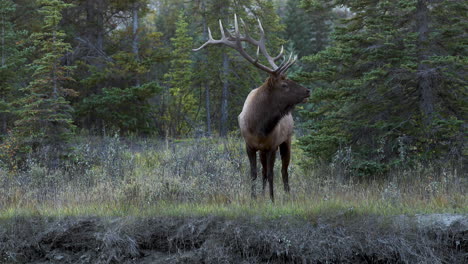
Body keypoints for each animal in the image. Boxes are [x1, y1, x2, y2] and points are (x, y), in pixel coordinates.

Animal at [192, 13, 308, 202]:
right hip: (265, 149)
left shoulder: (272, 145)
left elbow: (272, 174)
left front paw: (272, 199)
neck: (259, 126)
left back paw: (287, 193)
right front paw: (254, 198)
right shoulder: (250, 145)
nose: (307, 90)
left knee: (283, 171)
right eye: (284, 85)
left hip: (287, 139)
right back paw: (263, 193)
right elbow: (254, 173)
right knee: (265, 172)